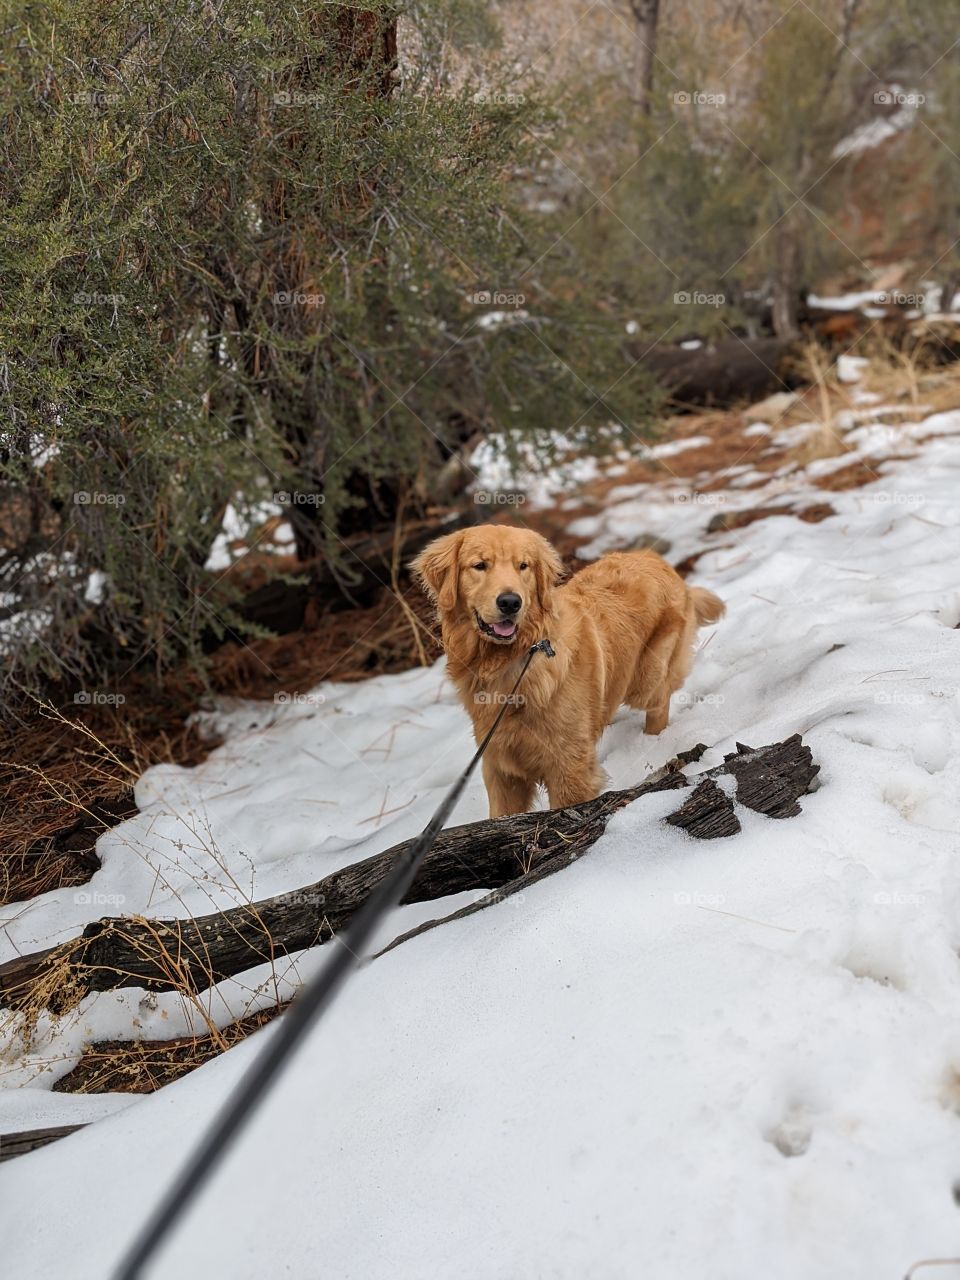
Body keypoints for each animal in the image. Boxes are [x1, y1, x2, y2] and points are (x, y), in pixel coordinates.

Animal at [409, 527, 727, 819]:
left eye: (523, 566)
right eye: (479, 565)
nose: (510, 602)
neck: (513, 661)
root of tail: (656, 560)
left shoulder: (569, 768)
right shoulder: (501, 767)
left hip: (646, 679)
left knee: (659, 701)